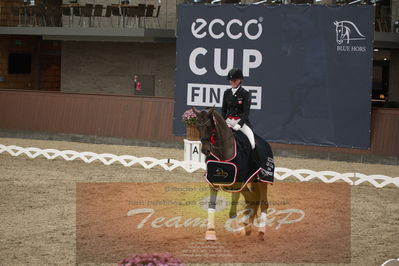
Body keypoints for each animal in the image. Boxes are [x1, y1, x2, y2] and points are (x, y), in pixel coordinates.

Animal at [191, 106, 274, 241]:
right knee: (252, 200)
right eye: (198, 126)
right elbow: (211, 206)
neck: (223, 152)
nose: (205, 150)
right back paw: (247, 227)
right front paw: (210, 233)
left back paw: (261, 232)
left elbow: (232, 212)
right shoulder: (213, 182)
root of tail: (266, 144)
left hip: (262, 180)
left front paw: (237, 232)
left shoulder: (237, 184)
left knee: (263, 203)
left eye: (209, 126)